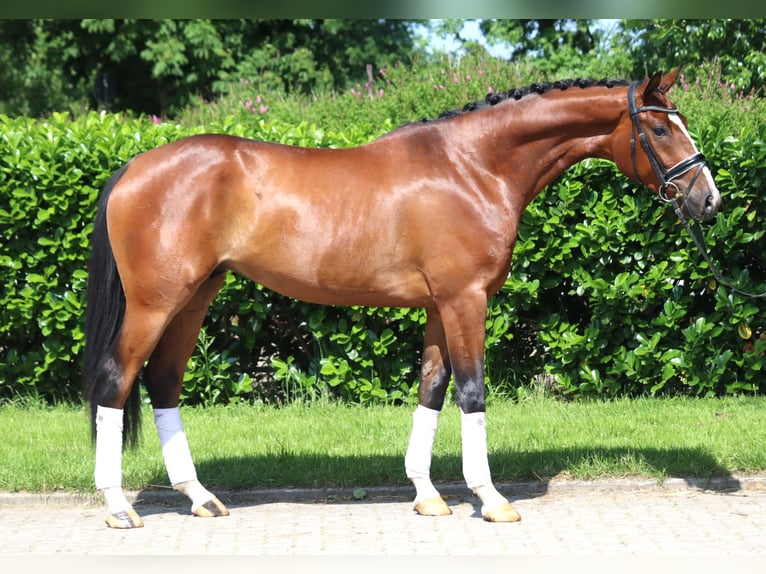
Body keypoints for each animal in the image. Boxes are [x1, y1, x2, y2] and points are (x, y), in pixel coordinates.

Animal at [83, 66, 720, 528]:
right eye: (661, 129)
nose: (708, 201)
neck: (472, 167)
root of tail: (133, 167)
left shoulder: (440, 306)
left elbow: (431, 391)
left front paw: (427, 495)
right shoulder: (465, 300)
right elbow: (471, 392)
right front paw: (491, 499)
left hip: (194, 298)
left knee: (164, 382)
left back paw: (200, 498)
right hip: (156, 304)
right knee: (115, 380)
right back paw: (119, 507)